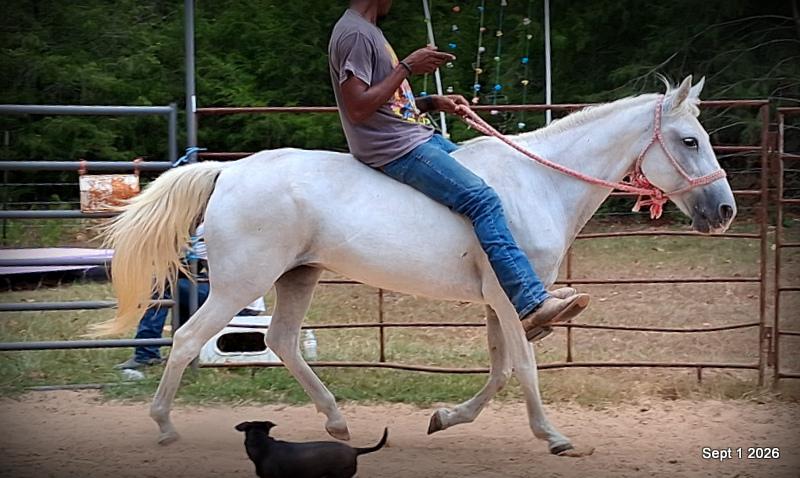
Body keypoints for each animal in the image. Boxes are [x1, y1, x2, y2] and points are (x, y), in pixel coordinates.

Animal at [99, 76, 735, 456]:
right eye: (688, 141)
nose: (725, 210)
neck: (537, 183)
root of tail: (229, 171)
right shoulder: (512, 299)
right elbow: (525, 367)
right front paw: (554, 437)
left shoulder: (496, 302)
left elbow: (500, 370)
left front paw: (445, 418)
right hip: (239, 283)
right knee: (187, 339)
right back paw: (165, 425)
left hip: (296, 275)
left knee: (279, 341)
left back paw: (337, 423)